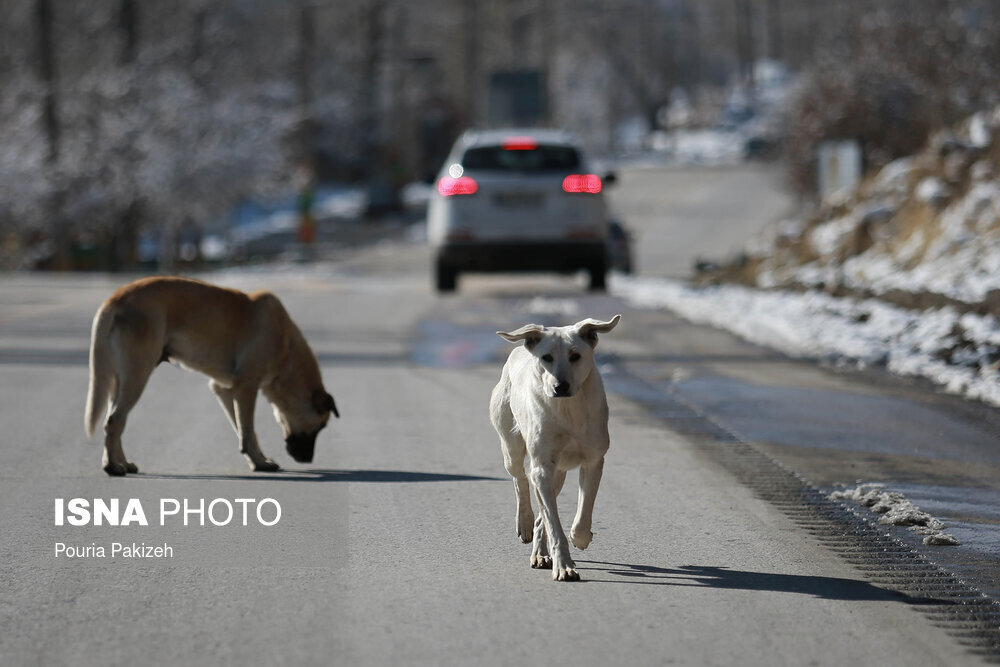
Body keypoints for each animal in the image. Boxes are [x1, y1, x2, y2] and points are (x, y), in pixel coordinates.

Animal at [86, 276, 336, 474]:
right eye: (321, 426)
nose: (308, 460)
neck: (286, 348)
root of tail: (115, 299)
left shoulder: (225, 390)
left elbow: (244, 431)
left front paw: (257, 459)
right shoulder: (246, 387)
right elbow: (247, 430)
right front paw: (260, 463)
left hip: (120, 381)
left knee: (114, 421)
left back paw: (121, 463)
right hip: (138, 374)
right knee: (115, 420)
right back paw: (113, 467)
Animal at [490, 316, 620, 580]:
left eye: (575, 355)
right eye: (546, 357)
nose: (560, 386)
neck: (568, 410)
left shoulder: (593, 460)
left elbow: (582, 512)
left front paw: (580, 538)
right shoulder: (542, 467)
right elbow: (553, 522)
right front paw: (565, 566)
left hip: (558, 473)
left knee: (542, 511)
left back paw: (540, 552)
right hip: (511, 445)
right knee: (520, 478)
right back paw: (525, 523)